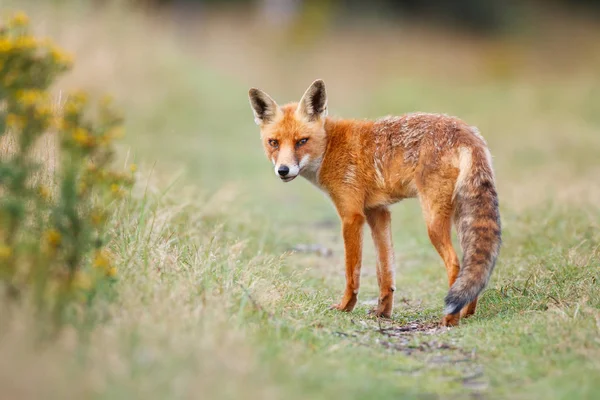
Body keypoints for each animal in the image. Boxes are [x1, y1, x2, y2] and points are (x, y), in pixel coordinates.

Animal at [248, 79, 502, 324]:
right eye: (273, 142)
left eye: (301, 141)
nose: (283, 170)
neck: (330, 147)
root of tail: (467, 131)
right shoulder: (378, 212)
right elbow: (385, 270)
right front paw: (383, 312)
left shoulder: (351, 216)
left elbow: (352, 272)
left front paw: (346, 307)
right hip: (461, 218)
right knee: (471, 265)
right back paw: (467, 311)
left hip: (433, 220)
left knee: (455, 263)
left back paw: (450, 319)